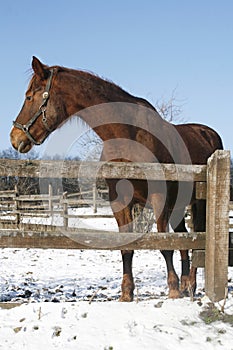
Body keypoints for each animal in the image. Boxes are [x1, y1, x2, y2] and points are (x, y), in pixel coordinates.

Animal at [10, 56, 223, 300]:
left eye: (29, 96)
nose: (15, 138)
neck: (128, 135)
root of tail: (209, 135)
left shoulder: (159, 198)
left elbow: (164, 245)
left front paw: (173, 289)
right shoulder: (120, 201)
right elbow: (127, 247)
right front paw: (127, 293)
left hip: (197, 204)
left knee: (196, 238)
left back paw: (188, 285)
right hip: (178, 206)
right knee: (185, 238)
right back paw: (188, 284)